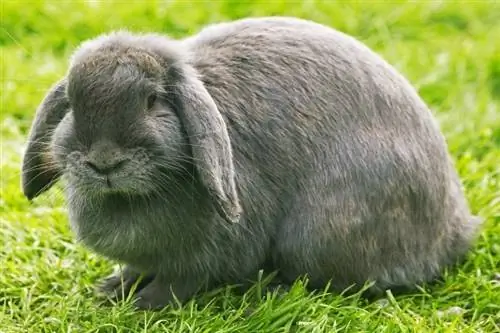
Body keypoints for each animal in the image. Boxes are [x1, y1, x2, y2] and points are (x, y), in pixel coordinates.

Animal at [21, 16, 482, 308]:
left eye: (152, 101)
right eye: (73, 105)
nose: (104, 162)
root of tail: (454, 231)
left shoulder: (210, 252)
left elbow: (178, 280)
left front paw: (145, 305)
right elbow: (138, 267)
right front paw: (112, 288)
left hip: (317, 233)